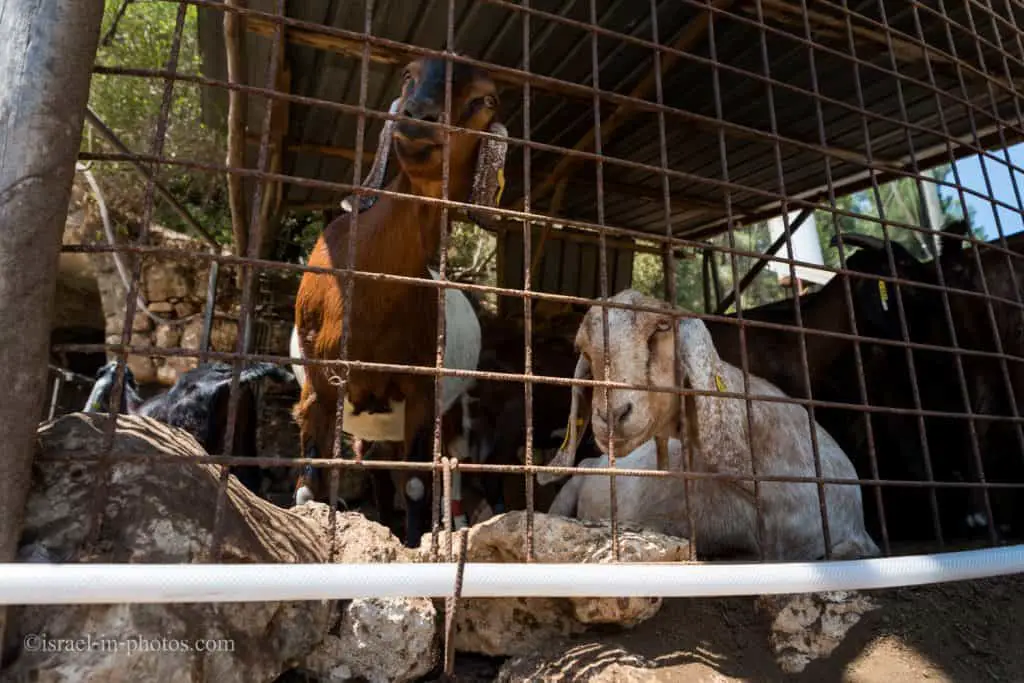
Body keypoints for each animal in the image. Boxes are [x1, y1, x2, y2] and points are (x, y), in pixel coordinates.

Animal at [292, 60, 507, 548]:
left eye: (486, 99)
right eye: (410, 76)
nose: (418, 116)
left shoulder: (422, 393)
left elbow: (414, 484)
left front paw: (412, 541)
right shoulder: (317, 382)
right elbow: (309, 483)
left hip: (451, 413)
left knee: (442, 468)